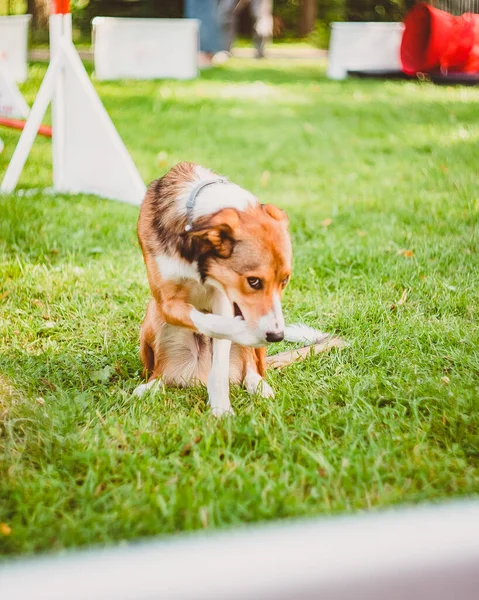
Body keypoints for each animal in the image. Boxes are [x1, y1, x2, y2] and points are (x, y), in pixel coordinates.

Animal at [137, 164, 344, 418]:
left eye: (285, 280)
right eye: (253, 281)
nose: (277, 336)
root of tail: (197, 376)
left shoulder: (223, 298)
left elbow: (220, 351)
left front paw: (221, 408)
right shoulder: (166, 301)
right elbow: (210, 322)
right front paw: (247, 332)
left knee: (252, 370)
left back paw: (261, 387)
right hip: (152, 316)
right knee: (158, 374)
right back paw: (148, 388)